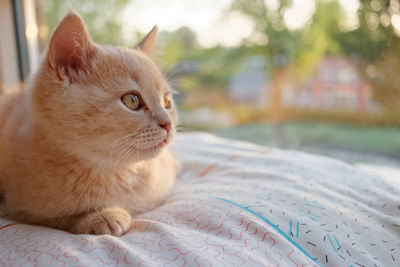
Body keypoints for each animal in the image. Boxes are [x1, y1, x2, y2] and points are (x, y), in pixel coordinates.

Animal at [0, 11, 177, 237]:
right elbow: (54, 218)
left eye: (167, 101)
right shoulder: (22, 205)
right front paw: (102, 216)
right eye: (132, 100)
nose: (168, 124)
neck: (115, 172)